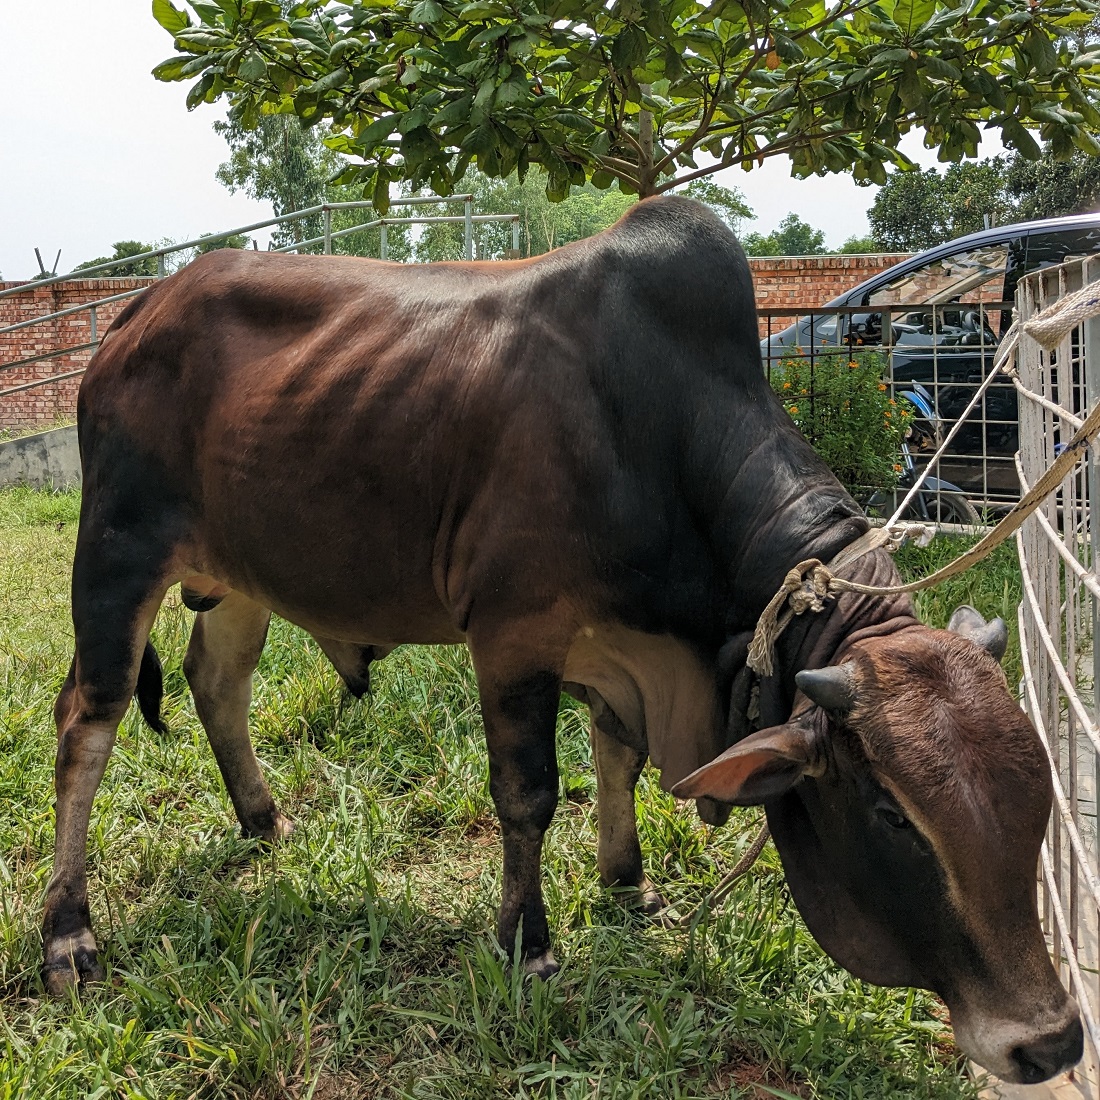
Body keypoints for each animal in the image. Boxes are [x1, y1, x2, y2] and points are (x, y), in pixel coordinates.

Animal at [47, 195, 1078, 1082]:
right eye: (895, 815)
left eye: (1037, 798)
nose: (1051, 1041)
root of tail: (139, 306)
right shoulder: (513, 637)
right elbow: (529, 795)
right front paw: (529, 946)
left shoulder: (620, 651)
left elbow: (617, 761)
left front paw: (630, 883)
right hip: (116, 552)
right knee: (86, 722)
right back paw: (68, 932)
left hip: (238, 578)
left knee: (216, 683)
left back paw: (264, 821)